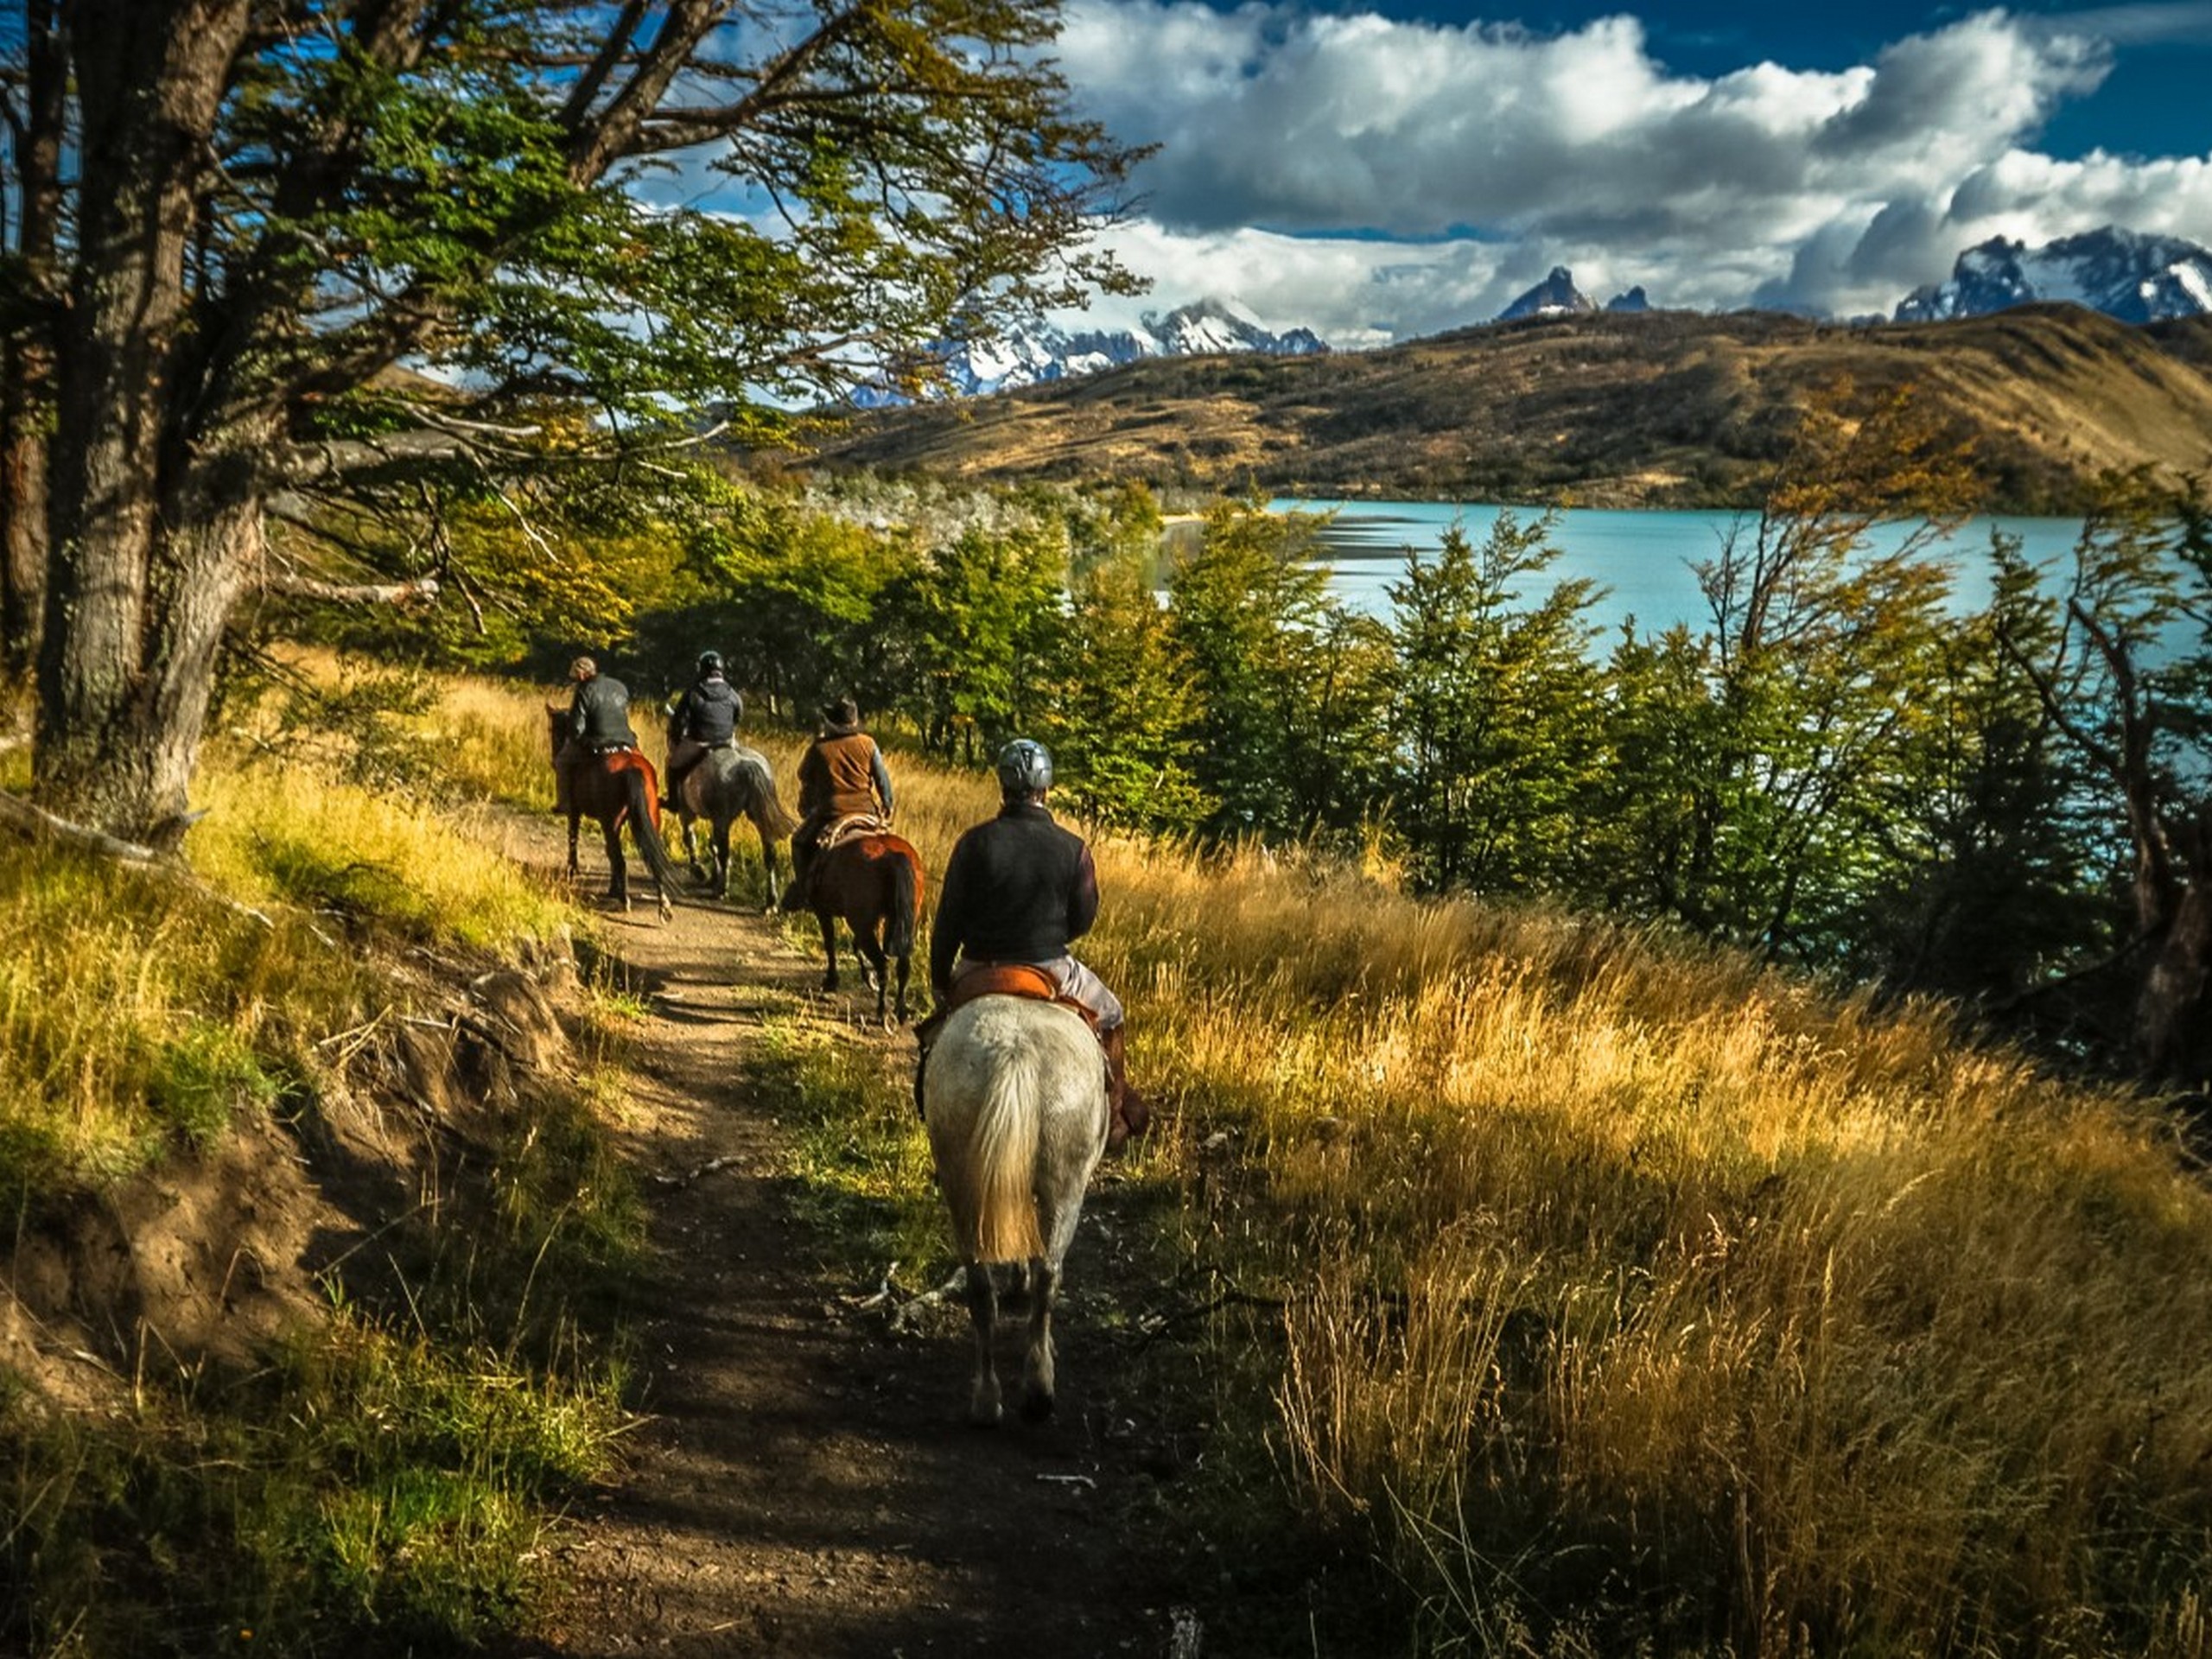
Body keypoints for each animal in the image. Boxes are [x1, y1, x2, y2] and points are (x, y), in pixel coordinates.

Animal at [543, 708, 681, 925]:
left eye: (553, 729)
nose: (553, 759)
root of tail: (631, 768)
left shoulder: (577, 813)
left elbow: (574, 839)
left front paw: (572, 872)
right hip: (649, 820)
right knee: (653, 859)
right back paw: (664, 907)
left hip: (611, 822)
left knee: (620, 859)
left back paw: (624, 899)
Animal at [668, 747, 800, 911]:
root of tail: (747, 766)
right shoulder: (714, 820)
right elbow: (712, 845)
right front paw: (713, 877)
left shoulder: (688, 813)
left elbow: (691, 839)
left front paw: (700, 870)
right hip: (758, 819)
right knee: (769, 856)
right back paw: (770, 903)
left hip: (722, 819)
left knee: (724, 854)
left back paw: (722, 891)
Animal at [800, 831, 919, 1026]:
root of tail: (892, 855)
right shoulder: (873, 922)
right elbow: (854, 946)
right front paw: (868, 978)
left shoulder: (823, 911)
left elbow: (830, 943)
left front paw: (831, 981)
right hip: (900, 924)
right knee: (903, 966)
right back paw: (899, 1011)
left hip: (862, 925)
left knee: (882, 964)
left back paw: (882, 1011)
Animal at [925, 1000, 1115, 1433]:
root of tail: (1015, 1051)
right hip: (1066, 1187)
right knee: (1048, 1274)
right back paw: (1037, 1392)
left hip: (962, 1187)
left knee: (980, 1289)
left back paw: (986, 1401)